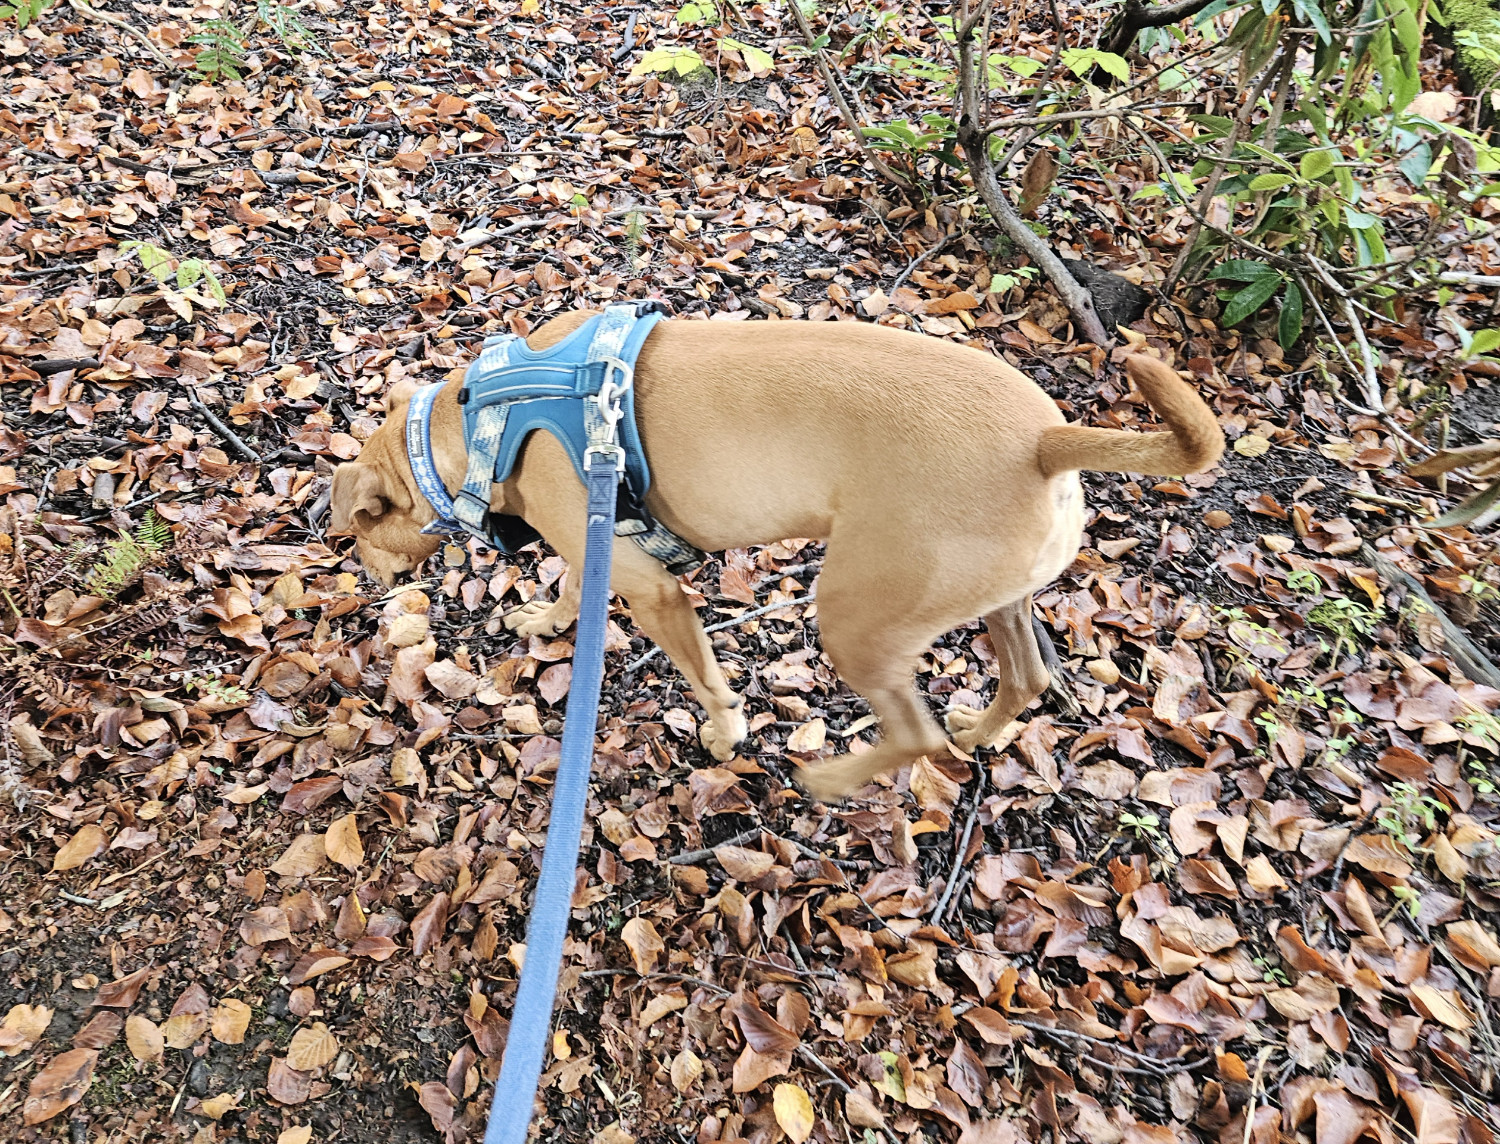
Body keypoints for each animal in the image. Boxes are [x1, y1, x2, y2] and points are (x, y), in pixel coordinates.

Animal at [331, 310, 1218, 797]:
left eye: (359, 535)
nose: (369, 588)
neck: (481, 422)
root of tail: (1044, 442)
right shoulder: (593, 544)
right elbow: (570, 587)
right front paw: (545, 618)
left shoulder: (654, 591)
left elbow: (705, 678)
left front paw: (725, 735)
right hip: (1000, 598)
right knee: (1026, 676)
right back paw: (980, 728)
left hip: (855, 616)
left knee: (913, 733)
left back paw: (830, 777)